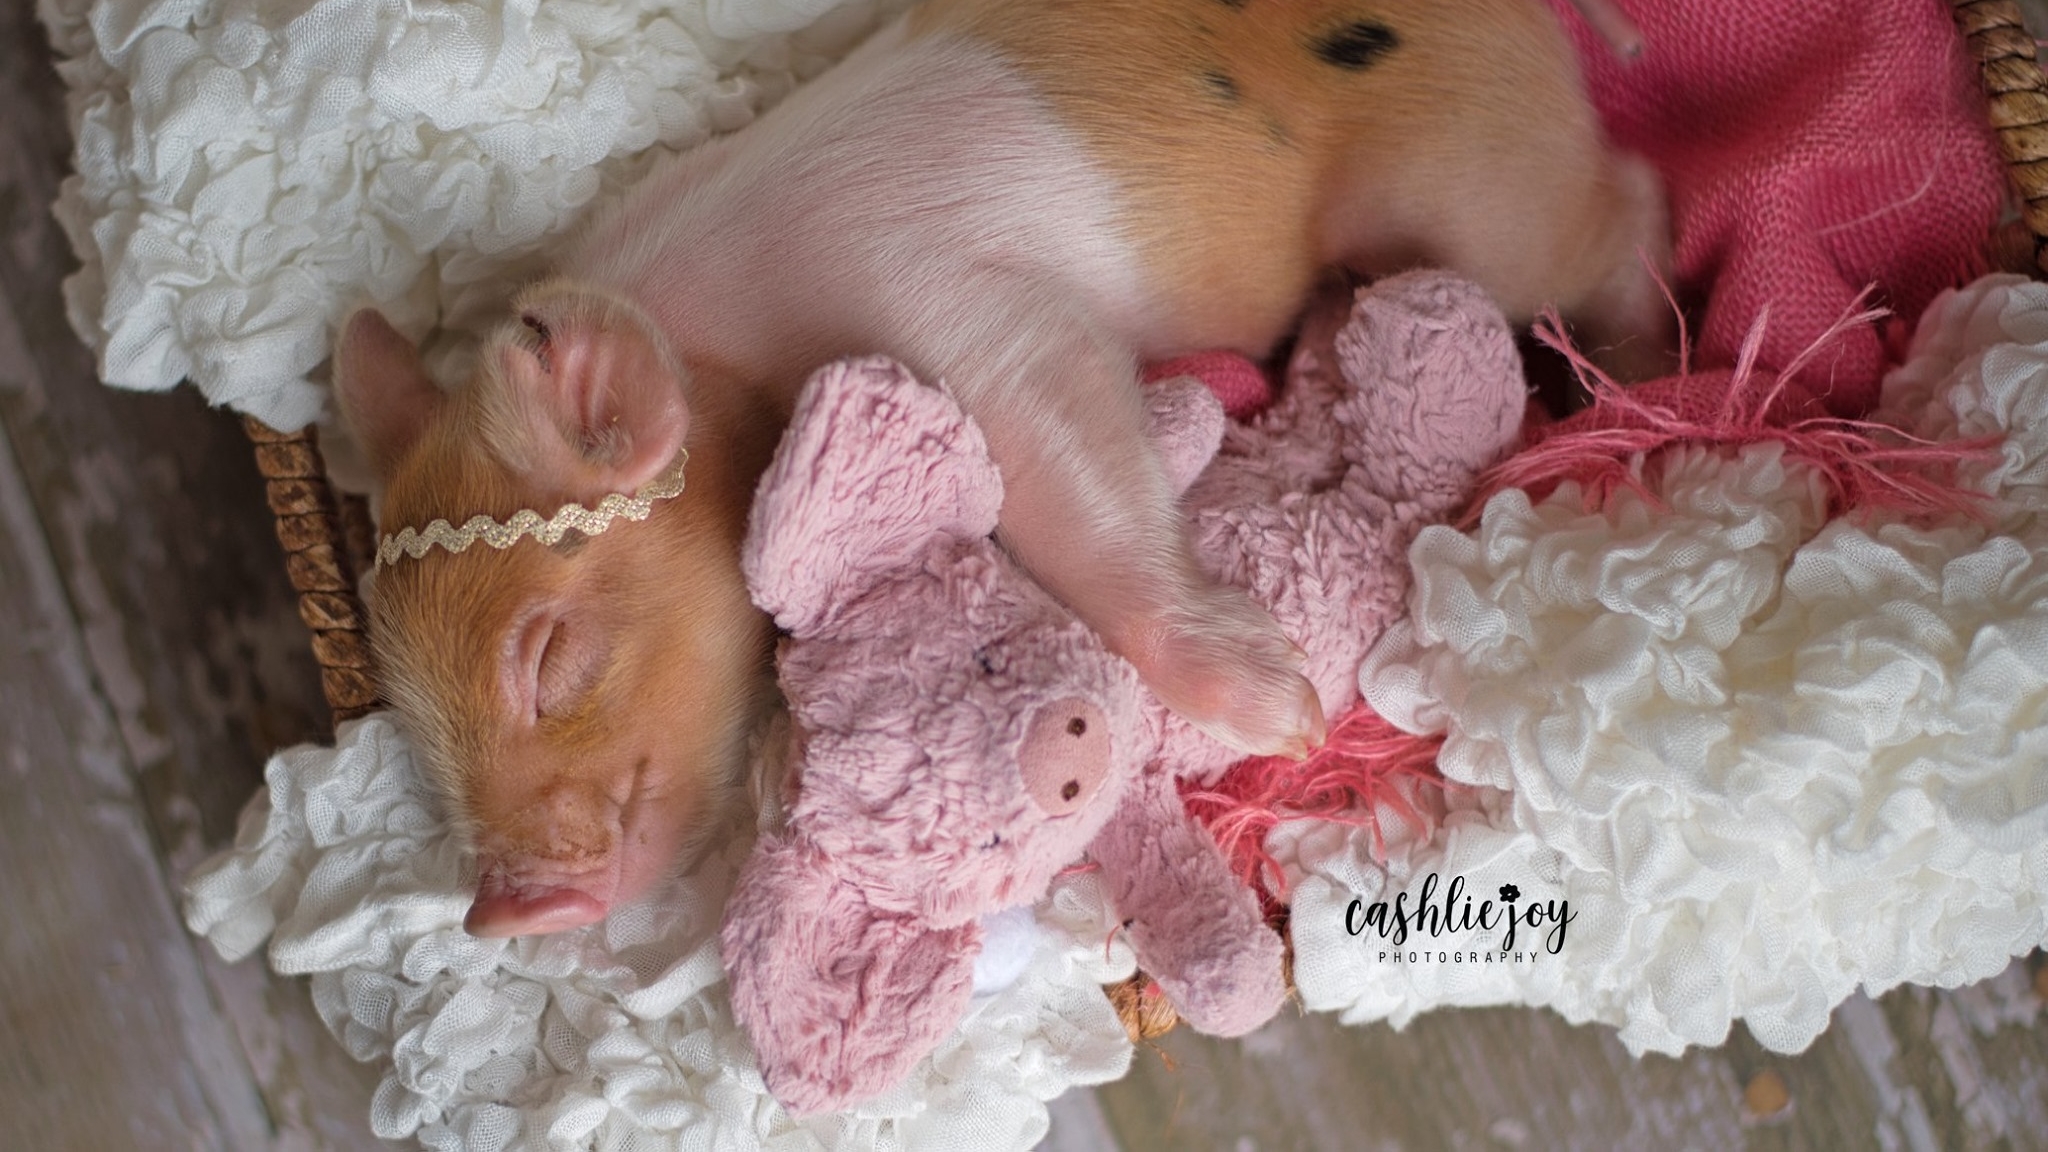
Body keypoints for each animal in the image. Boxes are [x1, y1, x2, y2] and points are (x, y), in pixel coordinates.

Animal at [333, 0, 1670, 938]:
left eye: (550, 659)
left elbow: (1062, 454)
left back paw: (1639, 354)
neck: (722, 339)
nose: (505, 914)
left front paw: (1281, 712)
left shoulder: (964, 313)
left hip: (1475, 190)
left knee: (1628, 204)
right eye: (406, 711)